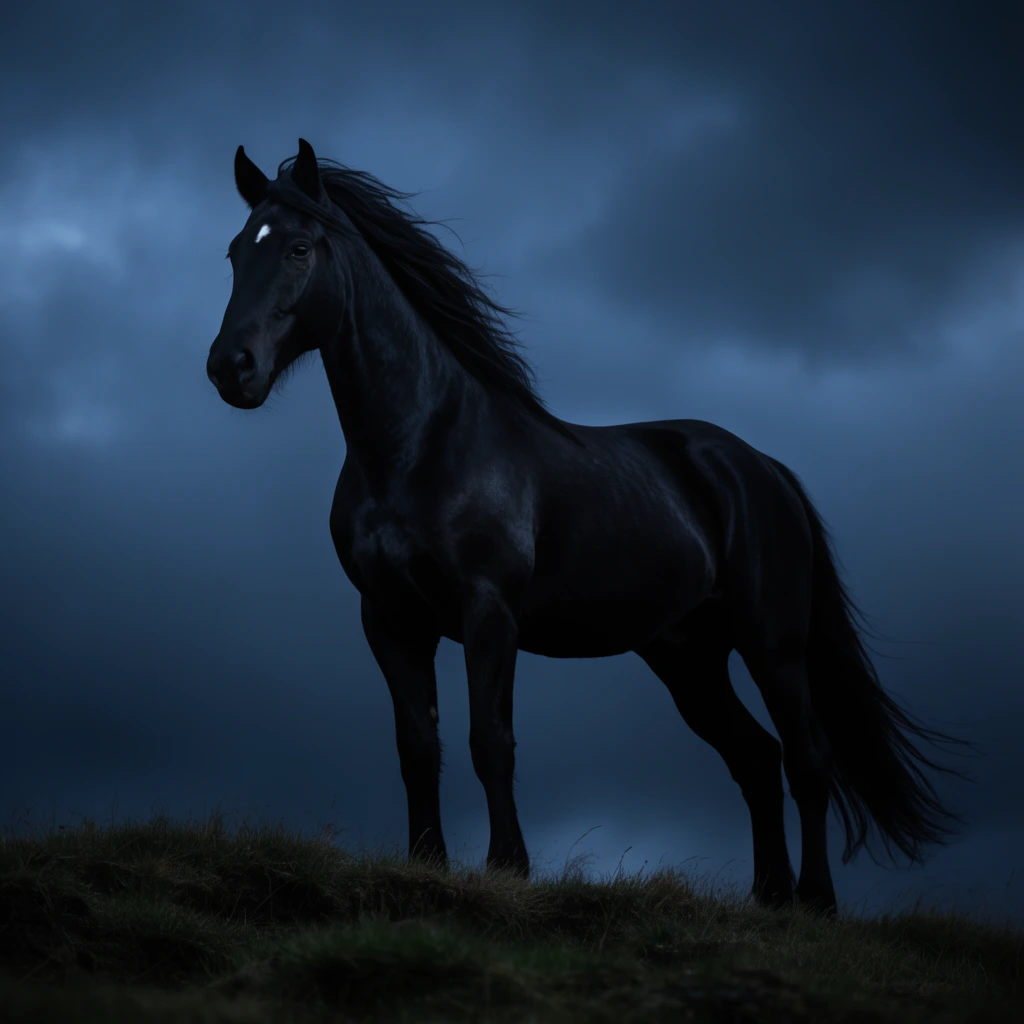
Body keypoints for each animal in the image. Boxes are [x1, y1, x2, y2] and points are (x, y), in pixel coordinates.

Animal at [206, 139, 971, 916]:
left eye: (300, 247)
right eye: (236, 251)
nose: (230, 368)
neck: (421, 444)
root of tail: (763, 468)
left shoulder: (488, 612)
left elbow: (491, 740)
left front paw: (508, 869)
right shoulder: (390, 619)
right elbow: (417, 745)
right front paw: (426, 864)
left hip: (772, 645)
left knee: (807, 758)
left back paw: (814, 901)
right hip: (687, 656)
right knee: (756, 757)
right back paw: (768, 898)